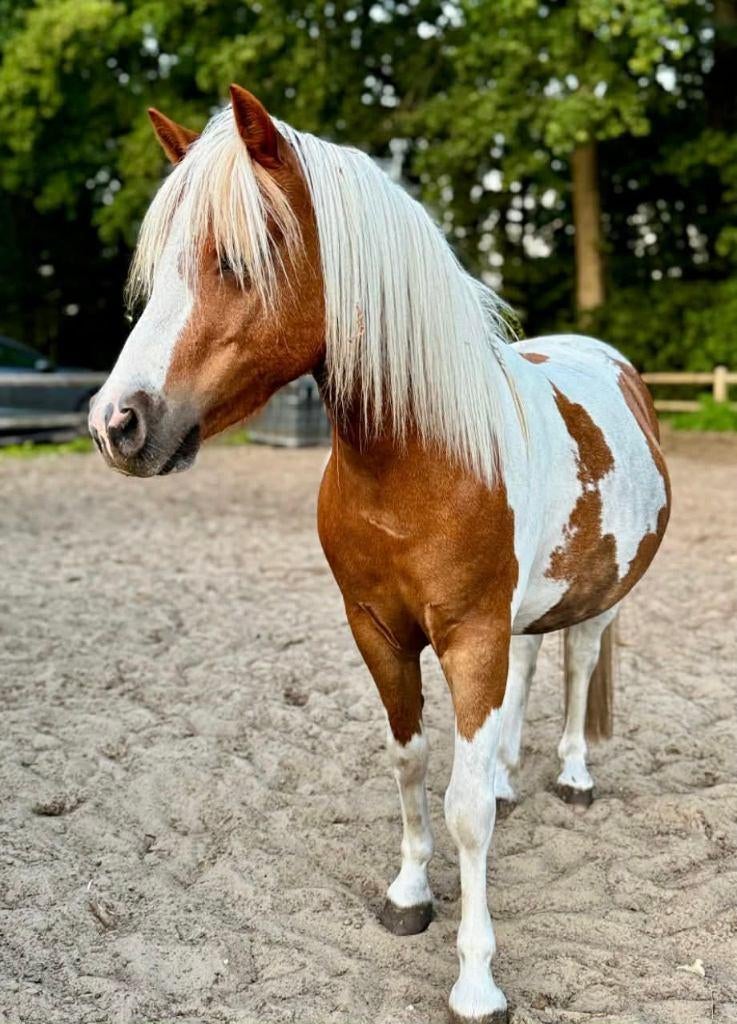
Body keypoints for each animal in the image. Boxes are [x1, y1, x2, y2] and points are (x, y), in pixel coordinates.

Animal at [89, 85, 670, 1024]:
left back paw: (573, 776)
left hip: (602, 595)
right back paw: (508, 771)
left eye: (237, 259)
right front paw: (408, 892)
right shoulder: (377, 630)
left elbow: (462, 809)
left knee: (579, 664)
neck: (421, 463)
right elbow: (410, 761)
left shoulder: (470, 635)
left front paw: (475, 979)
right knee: (531, 669)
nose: (116, 423)